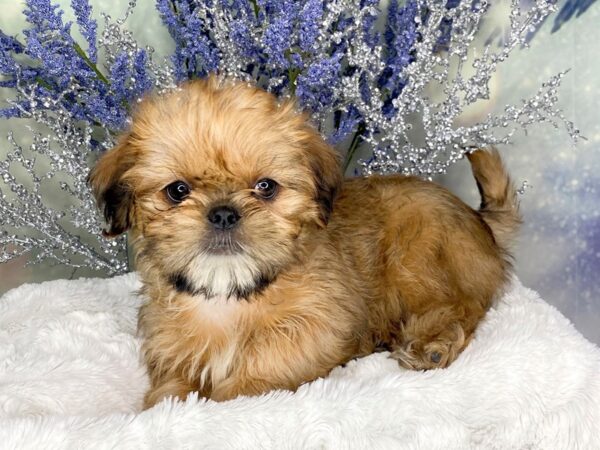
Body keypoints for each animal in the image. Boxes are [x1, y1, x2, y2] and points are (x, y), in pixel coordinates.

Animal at [89, 76, 520, 408]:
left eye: (266, 187)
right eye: (177, 191)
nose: (224, 212)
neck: (231, 294)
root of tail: (479, 219)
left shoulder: (317, 326)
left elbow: (267, 363)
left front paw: (227, 396)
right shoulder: (169, 339)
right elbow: (172, 384)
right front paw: (170, 403)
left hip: (417, 257)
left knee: (462, 306)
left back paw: (431, 344)